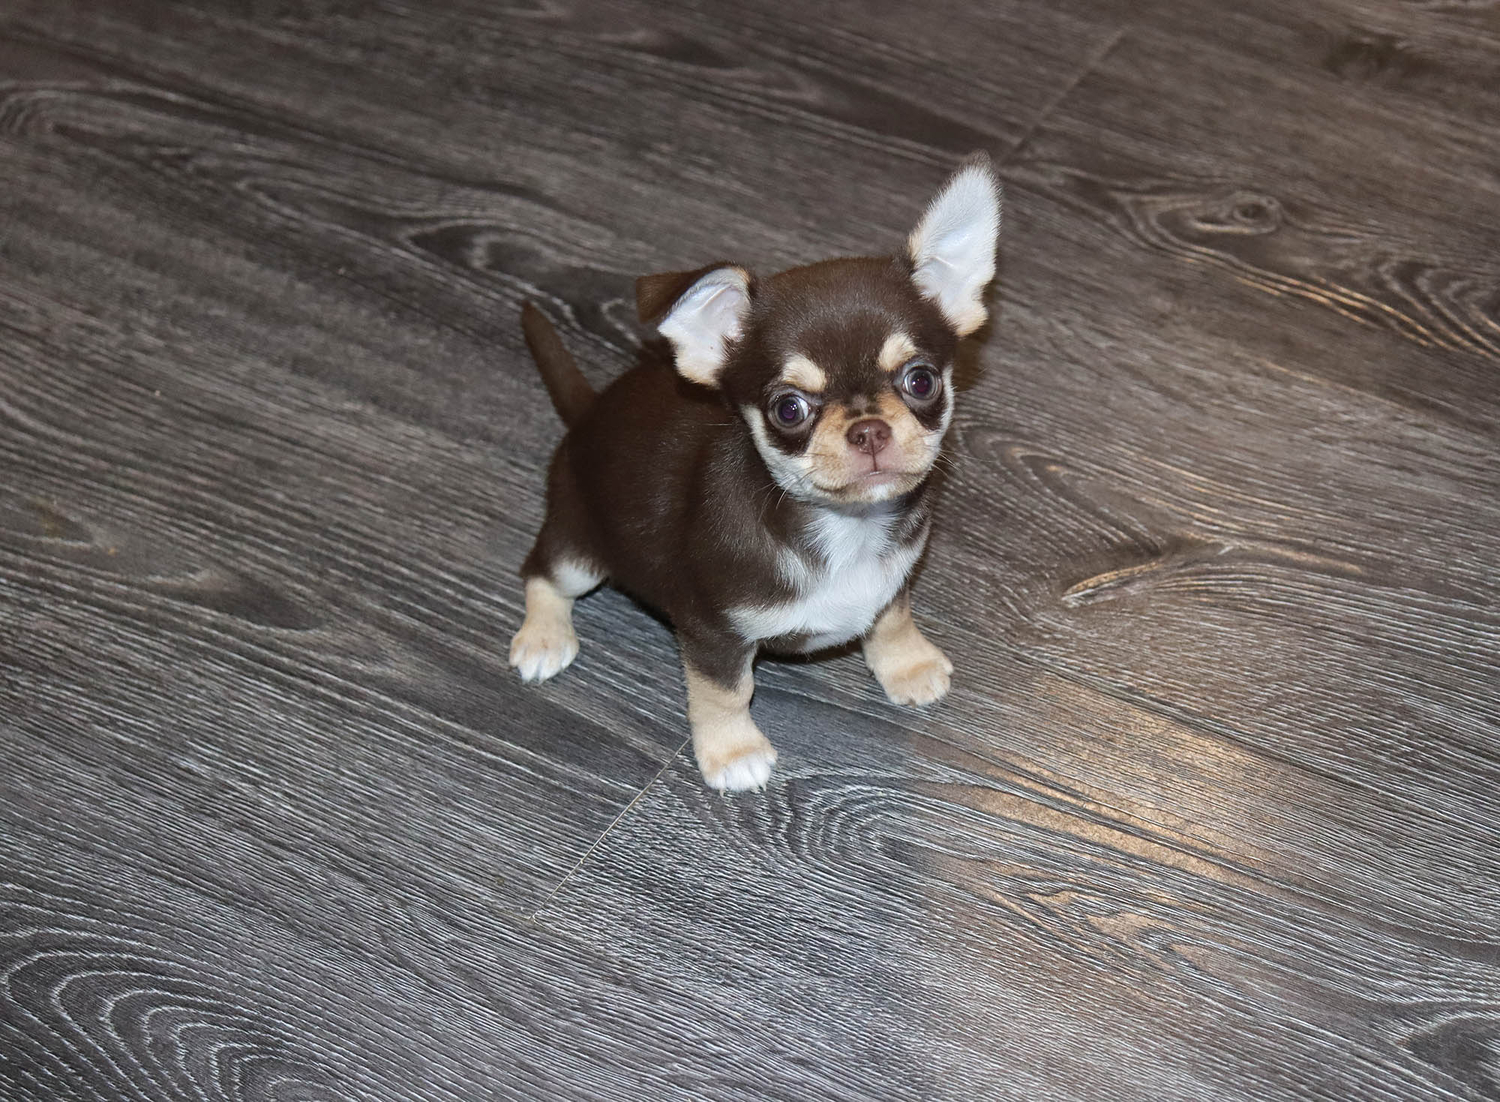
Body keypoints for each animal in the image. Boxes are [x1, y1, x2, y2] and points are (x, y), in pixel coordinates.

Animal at [510, 155, 1001, 791]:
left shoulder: (894, 582)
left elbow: (891, 619)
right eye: (788, 409)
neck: (846, 530)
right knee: (541, 572)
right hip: (581, 550)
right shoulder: (711, 632)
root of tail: (589, 411)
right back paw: (544, 637)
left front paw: (907, 665)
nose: (868, 429)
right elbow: (725, 692)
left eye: (921, 380)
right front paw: (732, 751)